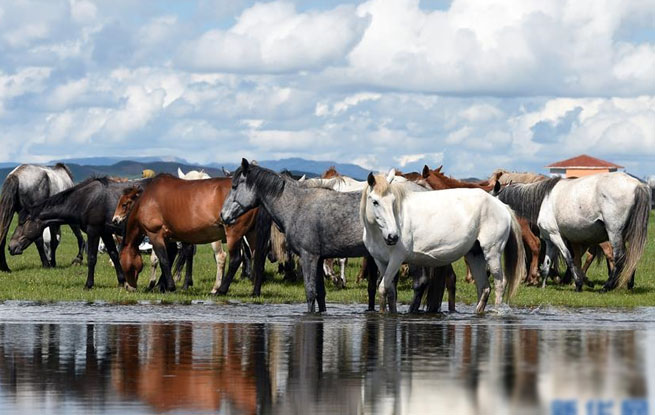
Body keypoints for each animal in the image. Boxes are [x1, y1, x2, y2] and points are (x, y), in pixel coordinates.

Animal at [7, 178, 151, 290]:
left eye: (23, 223)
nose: (11, 246)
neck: (87, 200)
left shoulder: (93, 231)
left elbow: (92, 258)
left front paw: (88, 284)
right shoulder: (105, 233)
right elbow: (114, 255)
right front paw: (122, 281)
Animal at [119, 174, 258, 294]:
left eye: (124, 204)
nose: (128, 287)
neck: (148, 200)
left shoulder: (155, 234)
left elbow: (164, 260)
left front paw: (169, 286)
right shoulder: (168, 238)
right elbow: (170, 258)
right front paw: (162, 285)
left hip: (233, 234)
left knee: (234, 259)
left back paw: (220, 290)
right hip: (249, 234)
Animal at [362, 171, 524, 314]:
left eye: (393, 201)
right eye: (375, 202)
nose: (393, 236)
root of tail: (501, 205)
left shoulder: (396, 259)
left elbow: (383, 288)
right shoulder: (381, 261)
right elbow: (390, 292)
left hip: (492, 253)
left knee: (500, 284)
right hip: (475, 255)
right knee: (484, 287)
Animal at [494, 172, 652, 292]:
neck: (544, 199)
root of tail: (638, 185)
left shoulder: (557, 236)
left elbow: (569, 258)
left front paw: (578, 284)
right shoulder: (549, 240)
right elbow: (546, 264)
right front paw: (543, 285)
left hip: (614, 233)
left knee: (619, 258)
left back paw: (607, 287)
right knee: (630, 257)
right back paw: (627, 284)